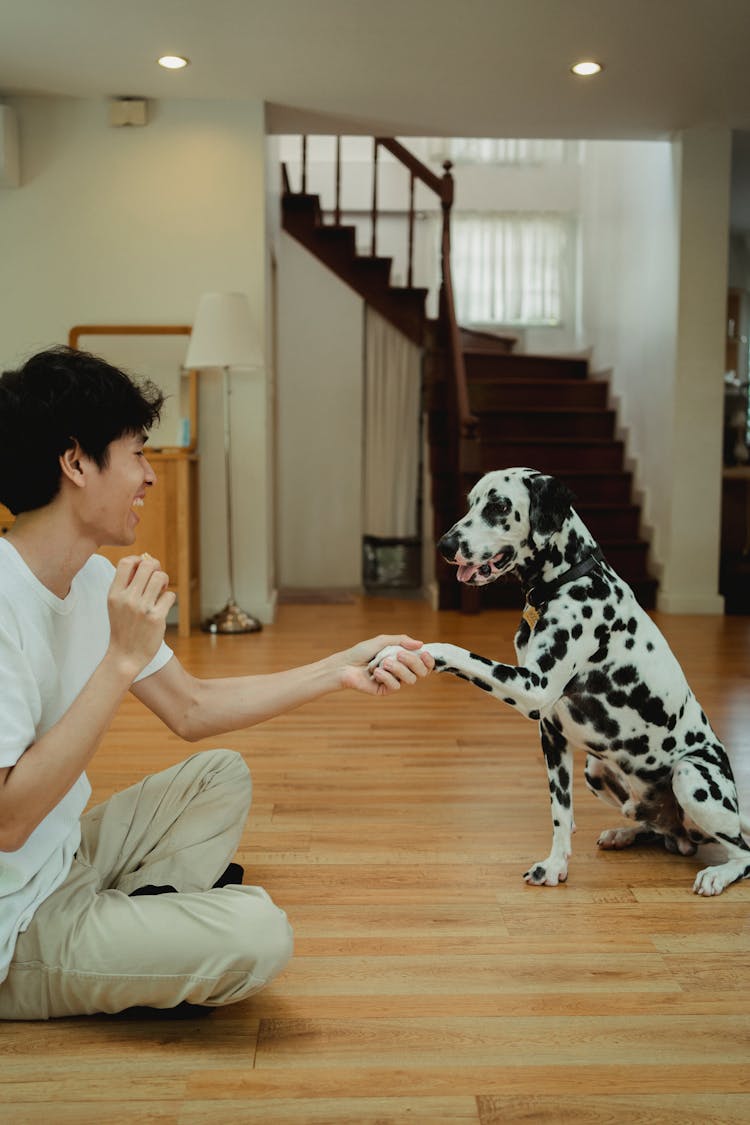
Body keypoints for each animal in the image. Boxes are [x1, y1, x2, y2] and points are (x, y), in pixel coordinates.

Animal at [375, 465, 750, 895]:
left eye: (499, 506)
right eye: (471, 502)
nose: (444, 545)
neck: (565, 581)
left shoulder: (531, 688)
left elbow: (454, 650)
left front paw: (399, 652)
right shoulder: (553, 735)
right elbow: (560, 812)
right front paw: (556, 866)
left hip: (691, 777)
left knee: (742, 853)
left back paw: (717, 874)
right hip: (597, 770)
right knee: (658, 828)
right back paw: (625, 832)